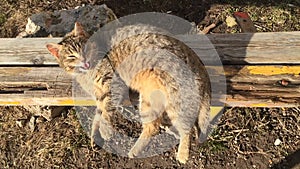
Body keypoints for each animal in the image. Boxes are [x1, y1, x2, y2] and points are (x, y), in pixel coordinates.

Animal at [46, 21, 211, 163]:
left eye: (85, 48)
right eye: (72, 56)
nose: (84, 61)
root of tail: (198, 64)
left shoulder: (113, 87)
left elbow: (106, 113)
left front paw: (105, 130)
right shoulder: (100, 95)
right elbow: (98, 114)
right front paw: (94, 134)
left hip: (174, 101)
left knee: (187, 128)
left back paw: (182, 153)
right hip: (148, 101)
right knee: (154, 126)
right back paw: (139, 147)